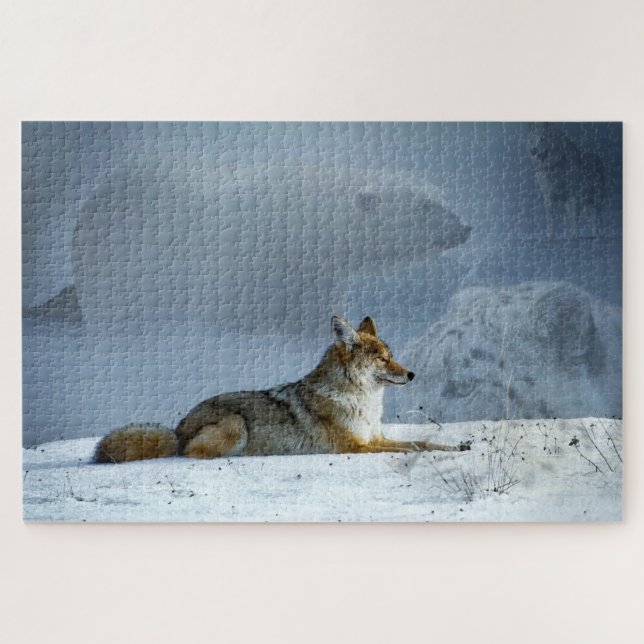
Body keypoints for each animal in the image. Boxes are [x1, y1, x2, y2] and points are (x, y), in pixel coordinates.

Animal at [93, 316, 471, 463]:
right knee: (191, 454)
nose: (412, 374)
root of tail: (177, 428)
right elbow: (411, 449)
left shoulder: (375, 438)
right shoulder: (356, 447)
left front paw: (457, 447)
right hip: (236, 425)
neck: (362, 404)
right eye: (381, 358)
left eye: (391, 356)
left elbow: (423, 443)